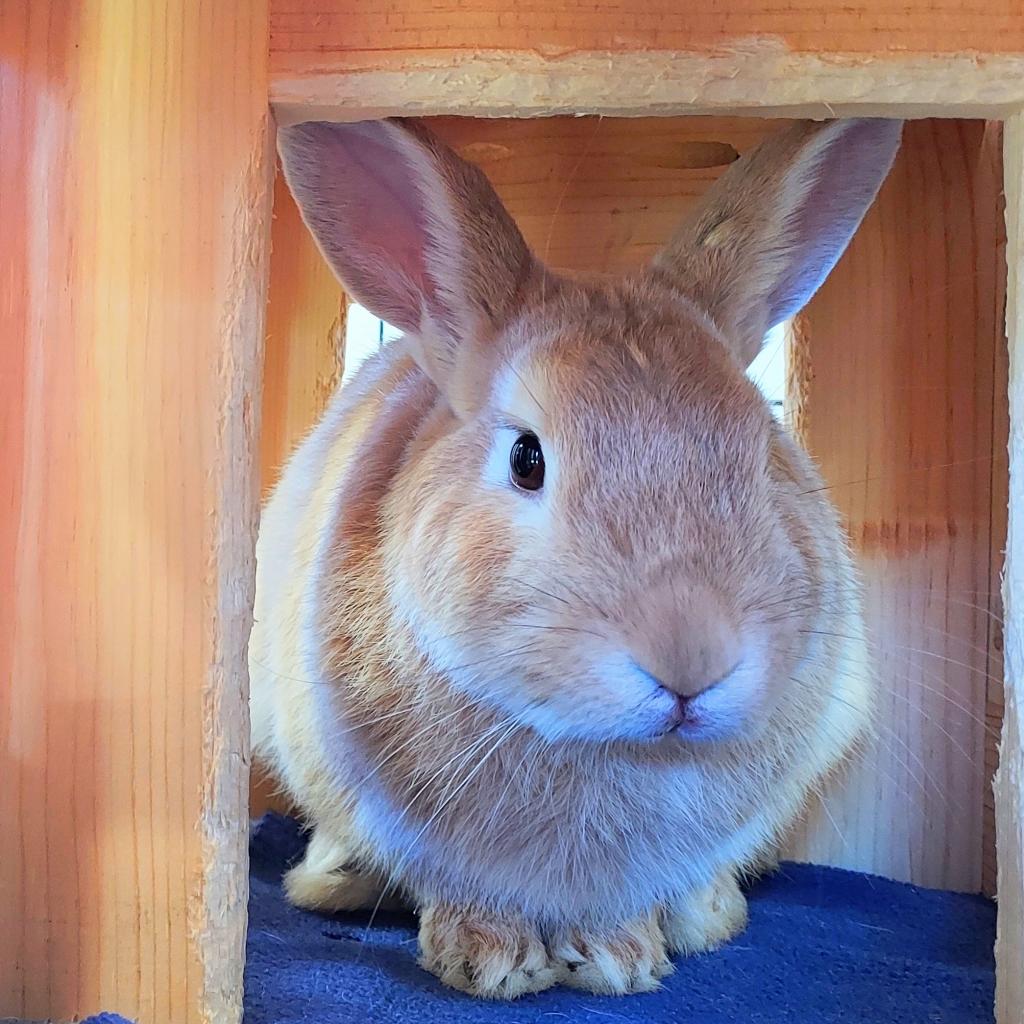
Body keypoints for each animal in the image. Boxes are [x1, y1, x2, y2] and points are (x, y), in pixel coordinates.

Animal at [249, 114, 905, 999]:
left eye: (764, 450)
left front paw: (617, 959)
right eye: (527, 459)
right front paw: (489, 960)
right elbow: (458, 886)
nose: (690, 660)